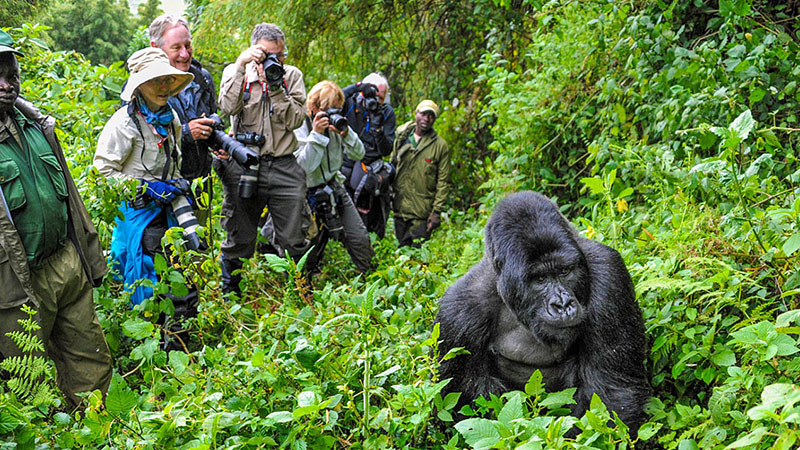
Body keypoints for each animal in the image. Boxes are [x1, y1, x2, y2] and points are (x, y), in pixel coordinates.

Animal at [438, 192, 648, 434]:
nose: (563, 304)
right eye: (540, 279)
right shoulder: (457, 316)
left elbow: (611, 393)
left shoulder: (609, 275)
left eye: (564, 271)